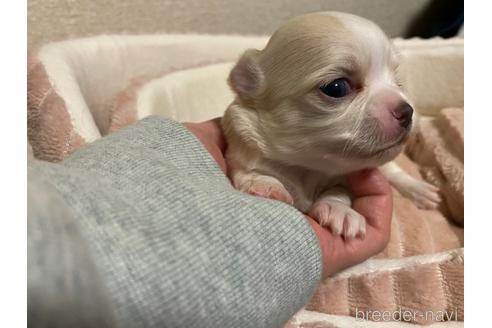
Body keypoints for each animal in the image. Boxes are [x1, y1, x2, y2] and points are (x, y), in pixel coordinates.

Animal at [221, 12, 440, 238]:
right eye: (337, 87)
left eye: (398, 83)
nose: (407, 111)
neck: (308, 166)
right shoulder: (241, 154)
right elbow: (250, 173)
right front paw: (265, 186)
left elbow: (339, 190)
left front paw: (339, 211)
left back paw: (419, 190)